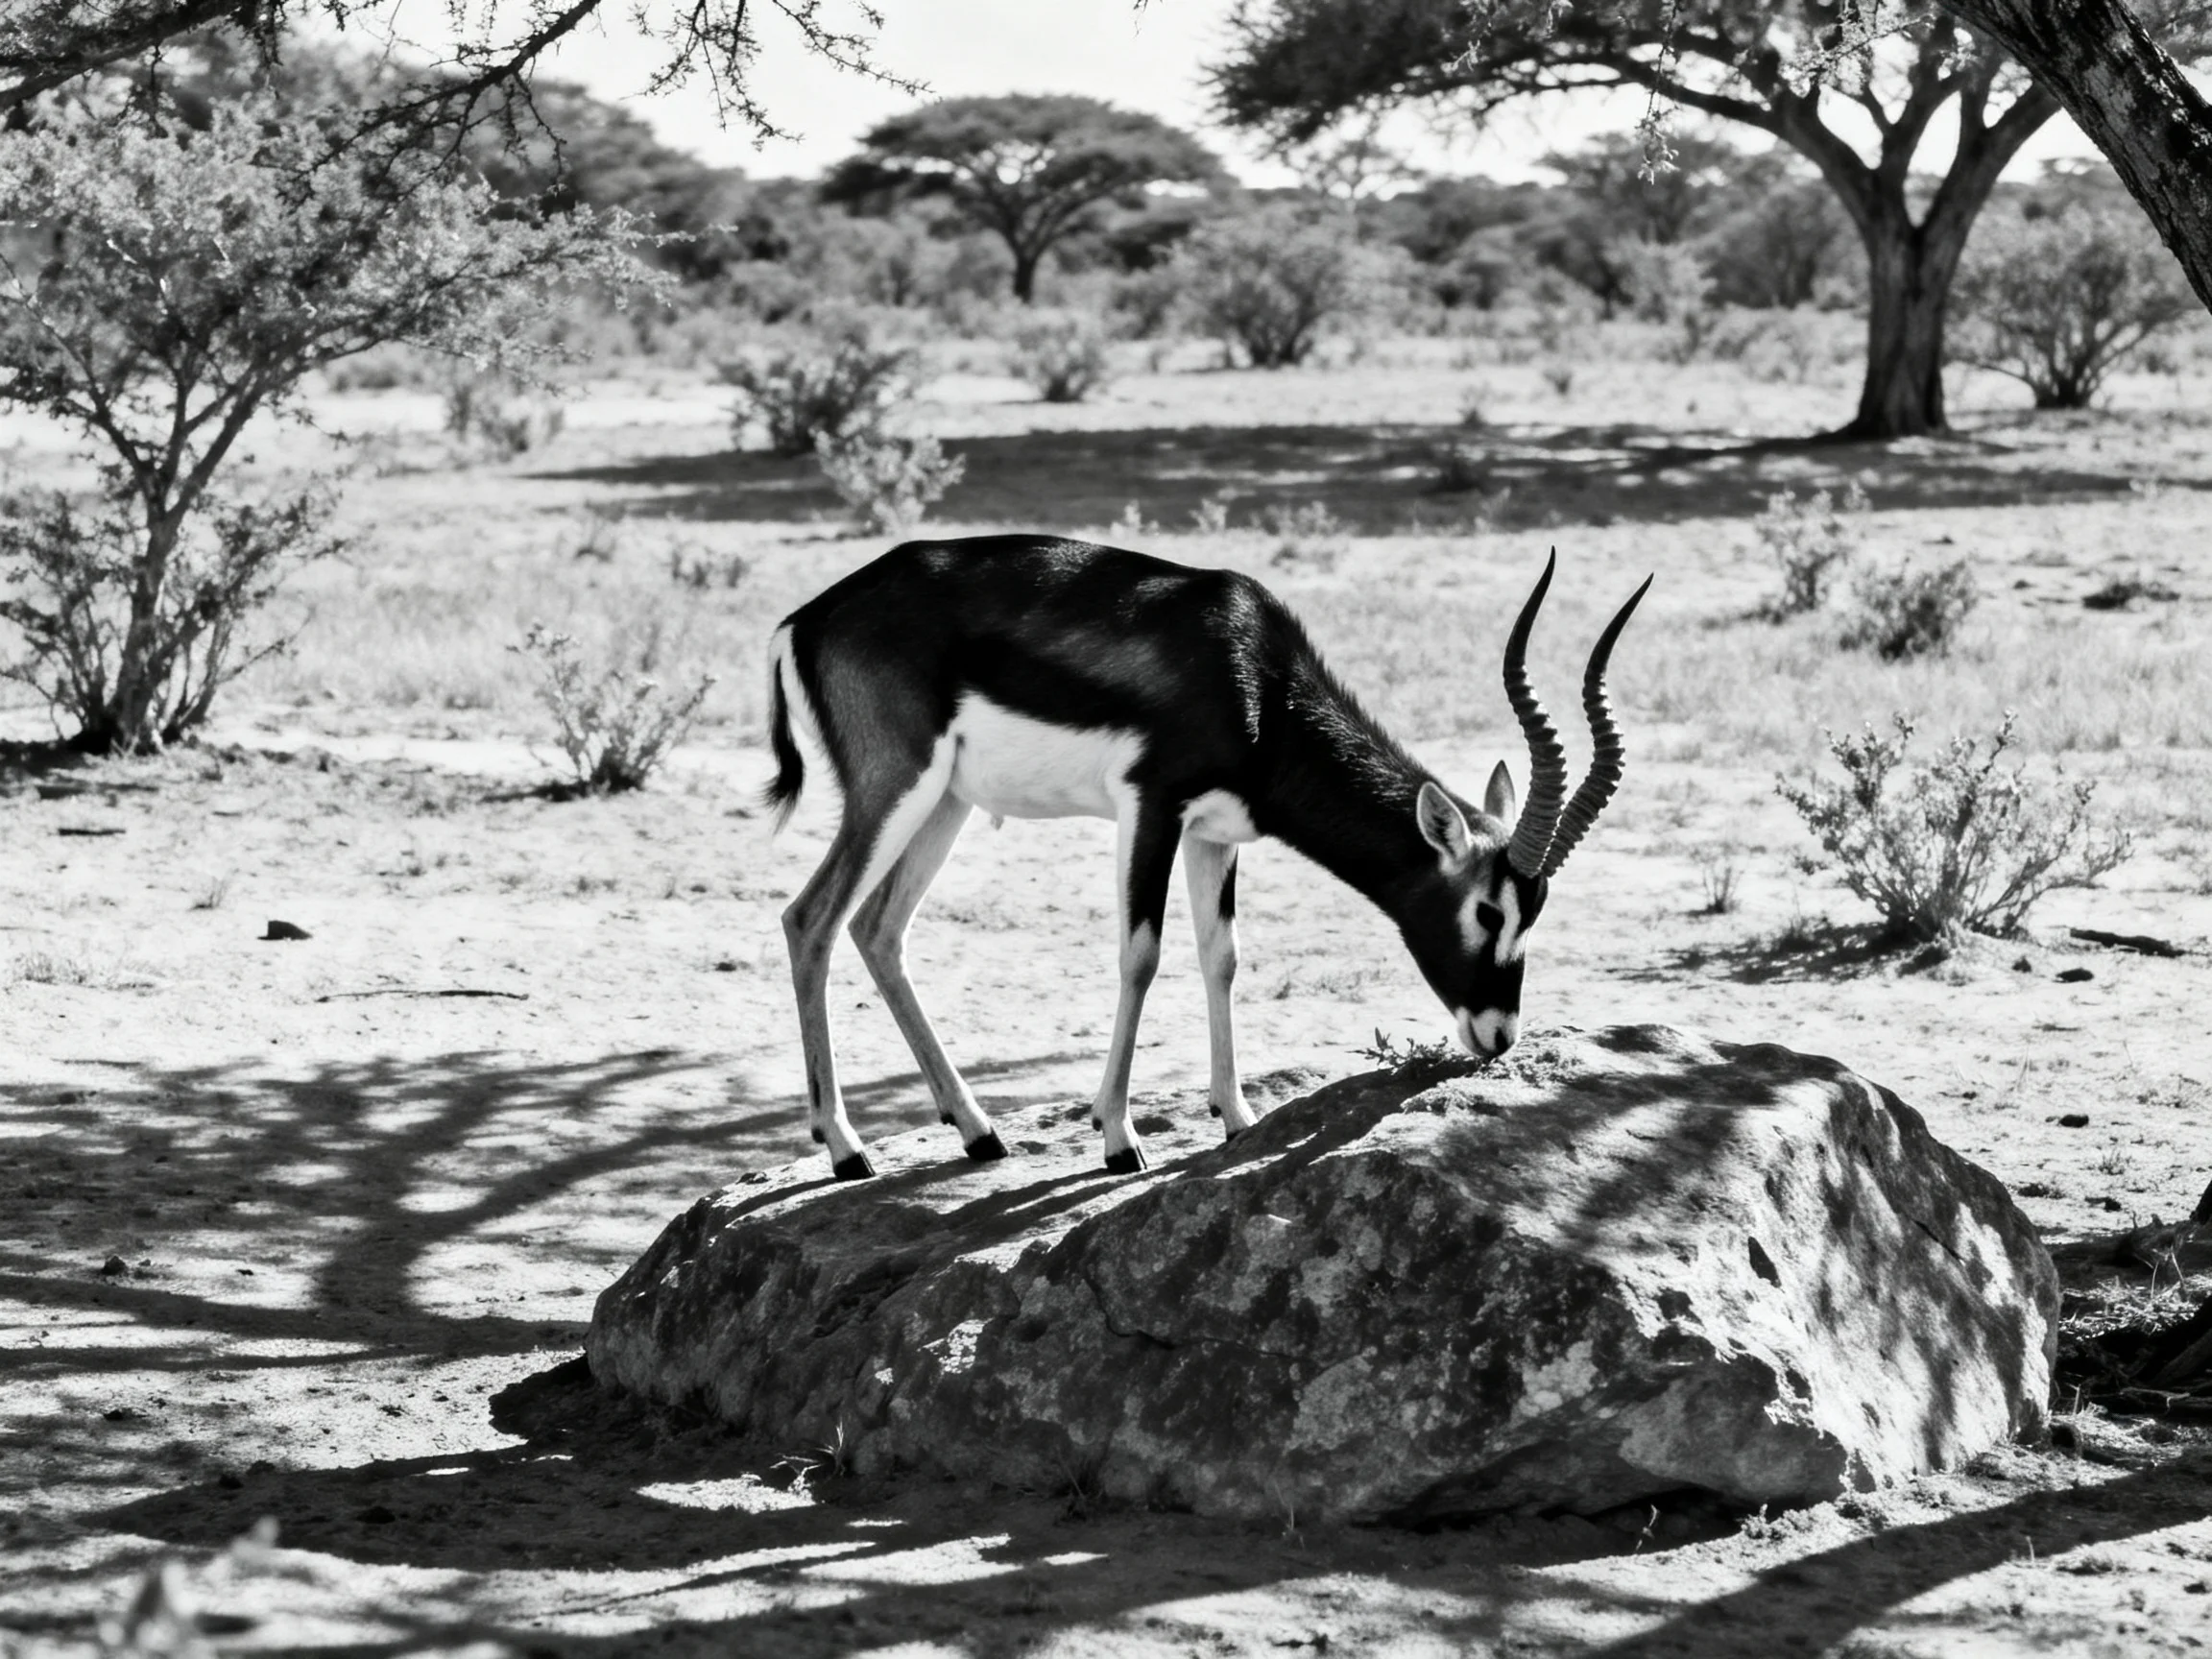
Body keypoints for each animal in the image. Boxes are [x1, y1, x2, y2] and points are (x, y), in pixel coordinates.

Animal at [766, 535, 1648, 1180]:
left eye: (1536, 912)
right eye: (1488, 909)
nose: (1499, 1036)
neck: (1256, 683)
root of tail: (808, 618)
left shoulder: (1213, 834)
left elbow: (1220, 958)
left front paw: (1239, 1119)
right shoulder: (1151, 808)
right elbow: (1142, 956)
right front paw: (1118, 1136)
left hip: (944, 803)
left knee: (878, 931)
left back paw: (978, 1132)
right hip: (895, 788)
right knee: (810, 919)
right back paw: (847, 1149)